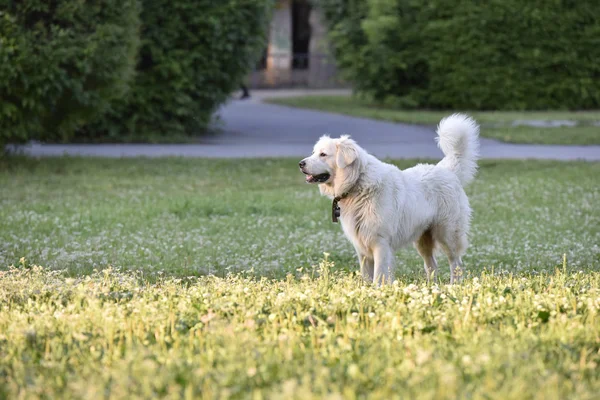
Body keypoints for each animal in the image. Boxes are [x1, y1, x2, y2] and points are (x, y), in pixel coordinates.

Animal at [298, 113, 480, 284]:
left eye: (323, 154)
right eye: (314, 153)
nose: (301, 164)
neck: (357, 183)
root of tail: (447, 171)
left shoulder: (381, 244)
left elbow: (379, 275)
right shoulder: (362, 248)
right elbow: (367, 277)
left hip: (448, 235)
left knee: (456, 264)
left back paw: (453, 286)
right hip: (423, 239)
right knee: (432, 265)